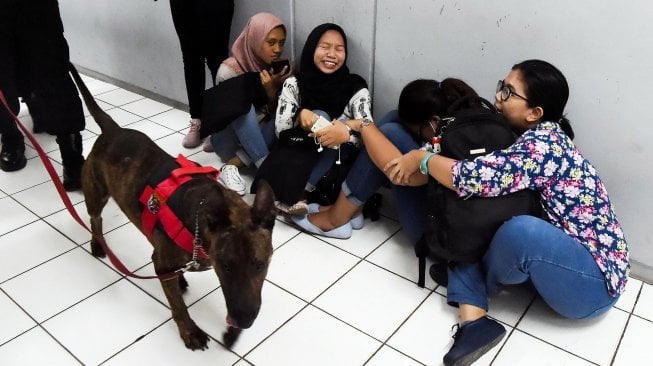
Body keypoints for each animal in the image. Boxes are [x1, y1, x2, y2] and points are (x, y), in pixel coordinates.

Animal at [68, 65, 276, 348]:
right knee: (95, 219)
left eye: (260, 265)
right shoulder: (162, 264)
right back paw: (98, 243)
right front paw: (189, 330)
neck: (201, 227)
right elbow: (177, 305)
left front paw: (232, 334)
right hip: (95, 191)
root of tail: (113, 130)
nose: (244, 320)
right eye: (226, 266)